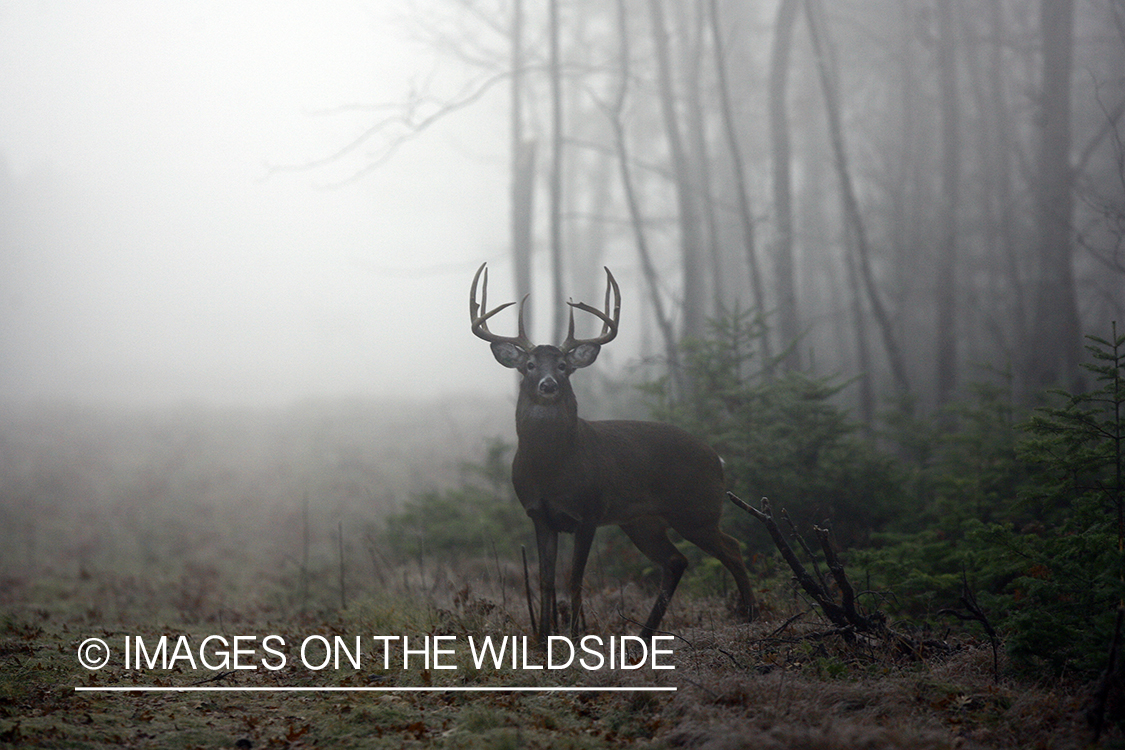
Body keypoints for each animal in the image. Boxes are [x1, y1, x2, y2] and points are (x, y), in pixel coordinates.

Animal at [465, 260, 756, 643]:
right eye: (529, 365)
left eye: (563, 366)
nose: (548, 384)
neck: (549, 467)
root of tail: (717, 458)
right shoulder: (539, 514)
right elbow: (544, 580)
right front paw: (542, 638)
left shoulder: (589, 511)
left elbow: (575, 577)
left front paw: (575, 635)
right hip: (643, 521)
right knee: (677, 560)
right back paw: (645, 633)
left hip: (697, 509)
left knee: (733, 548)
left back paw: (751, 614)